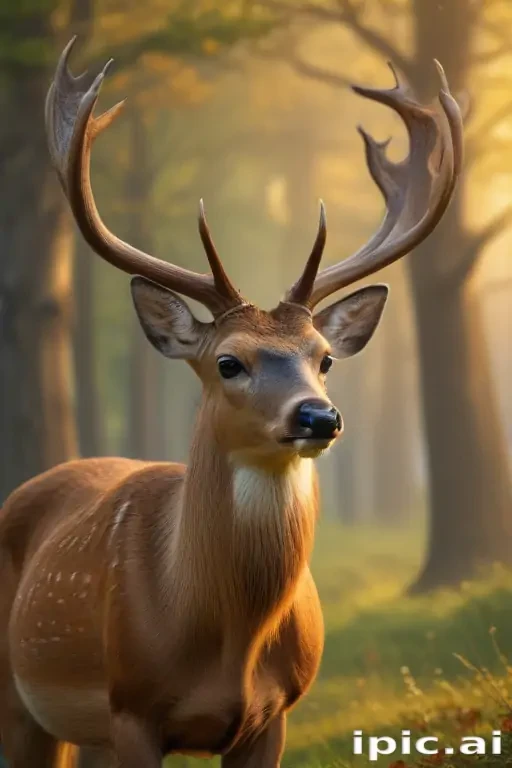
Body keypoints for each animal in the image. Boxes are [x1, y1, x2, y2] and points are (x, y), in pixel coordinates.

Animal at [0, 38, 462, 768]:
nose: (319, 416)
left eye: (324, 358)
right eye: (228, 362)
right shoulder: (133, 710)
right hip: (22, 698)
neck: (226, 645)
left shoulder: (275, 715)